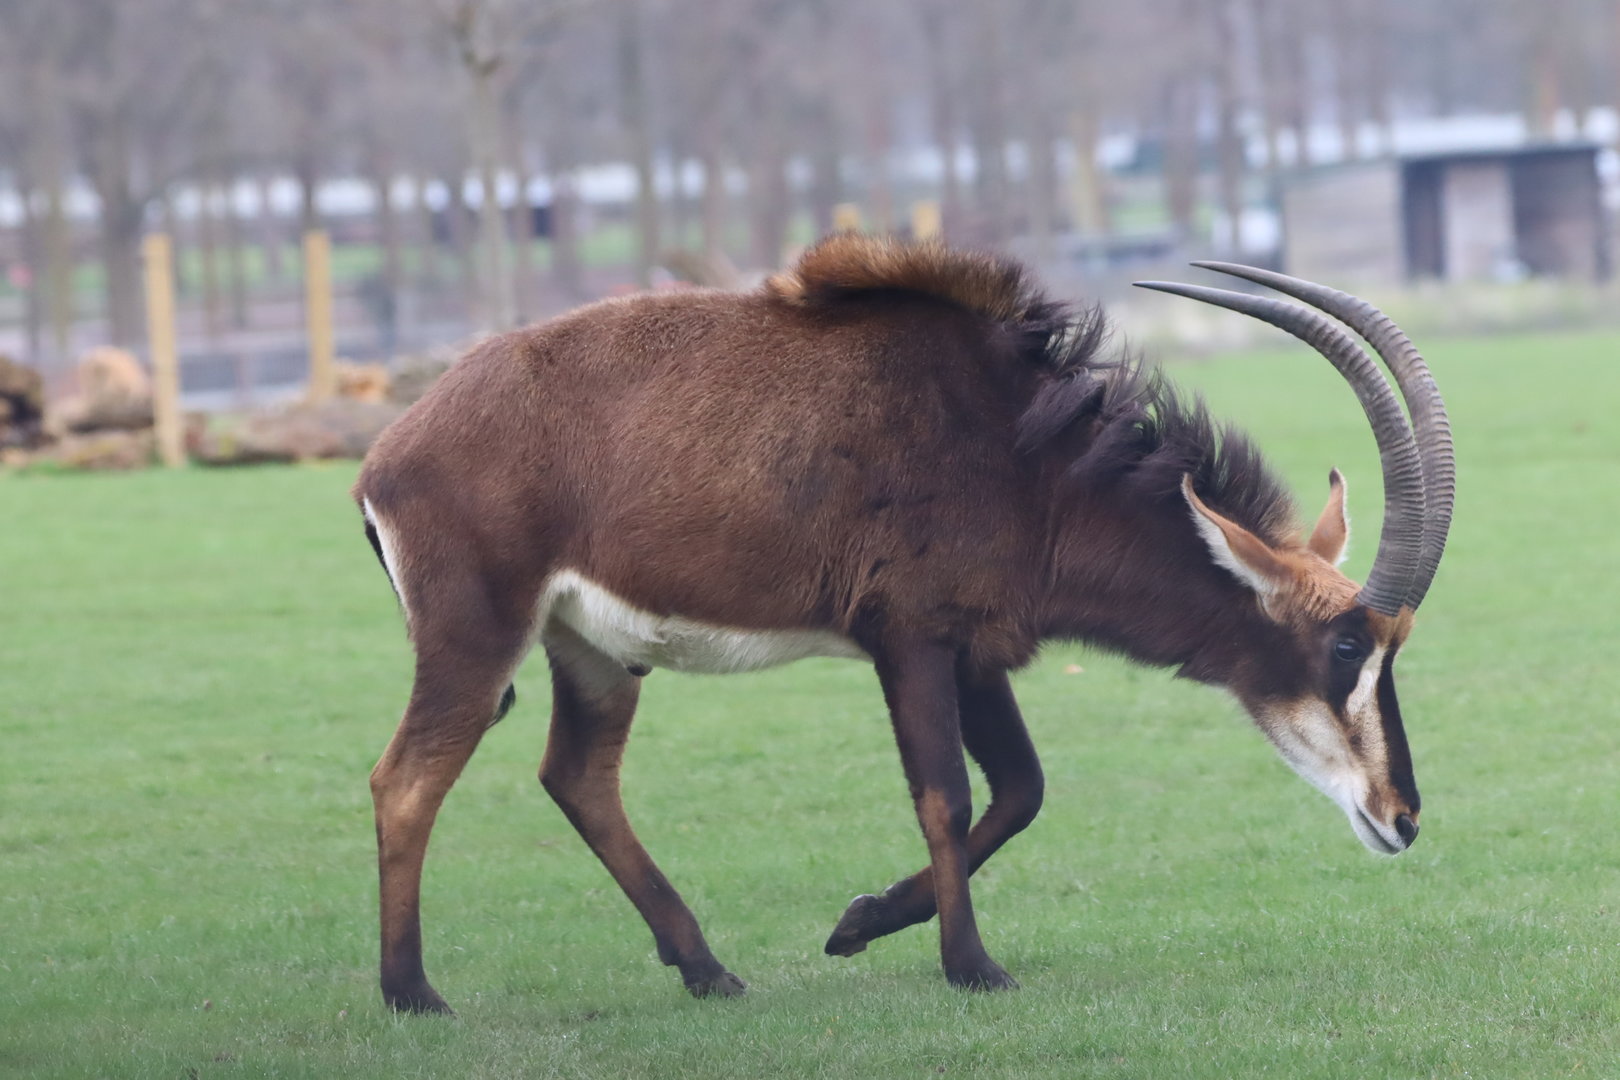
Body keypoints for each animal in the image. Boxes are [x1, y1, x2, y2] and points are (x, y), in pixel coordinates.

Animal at [355, 236, 1454, 1012]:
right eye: (1346, 645)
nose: (1402, 818)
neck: (1023, 455)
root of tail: (389, 453)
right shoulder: (911, 638)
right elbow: (948, 797)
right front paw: (971, 965)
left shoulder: (977, 648)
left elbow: (1021, 790)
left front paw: (858, 924)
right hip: (477, 635)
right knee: (406, 780)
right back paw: (413, 992)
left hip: (595, 653)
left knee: (579, 777)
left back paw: (706, 969)